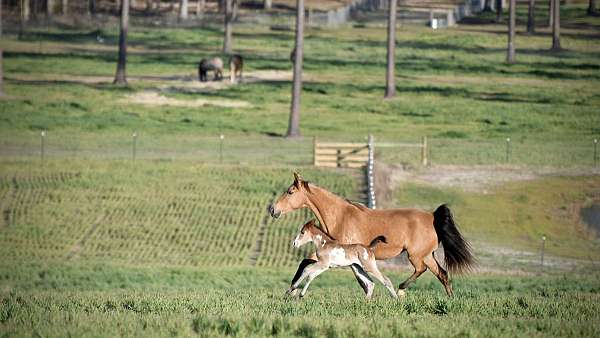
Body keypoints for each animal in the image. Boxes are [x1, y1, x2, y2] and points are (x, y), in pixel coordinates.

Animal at [268, 173, 474, 298]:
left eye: (290, 192)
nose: (272, 209)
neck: (341, 216)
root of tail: (432, 216)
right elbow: (306, 263)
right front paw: (290, 291)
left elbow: (363, 281)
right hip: (427, 255)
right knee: (442, 274)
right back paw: (450, 299)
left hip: (415, 255)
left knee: (421, 269)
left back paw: (401, 289)